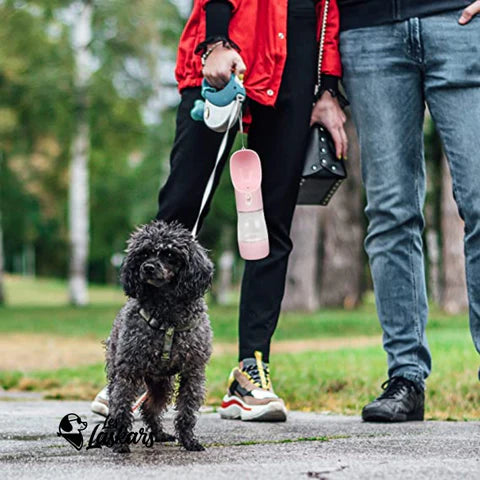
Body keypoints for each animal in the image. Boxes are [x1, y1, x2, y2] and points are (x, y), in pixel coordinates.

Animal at [108, 221, 215, 454]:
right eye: (144, 253)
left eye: (169, 254)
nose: (147, 267)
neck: (167, 318)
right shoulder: (128, 371)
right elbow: (121, 407)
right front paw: (119, 442)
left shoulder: (192, 372)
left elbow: (186, 411)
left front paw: (189, 441)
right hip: (120, 372)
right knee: (115, 404)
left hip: (161, 383)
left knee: (150, 408)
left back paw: (158, 434)